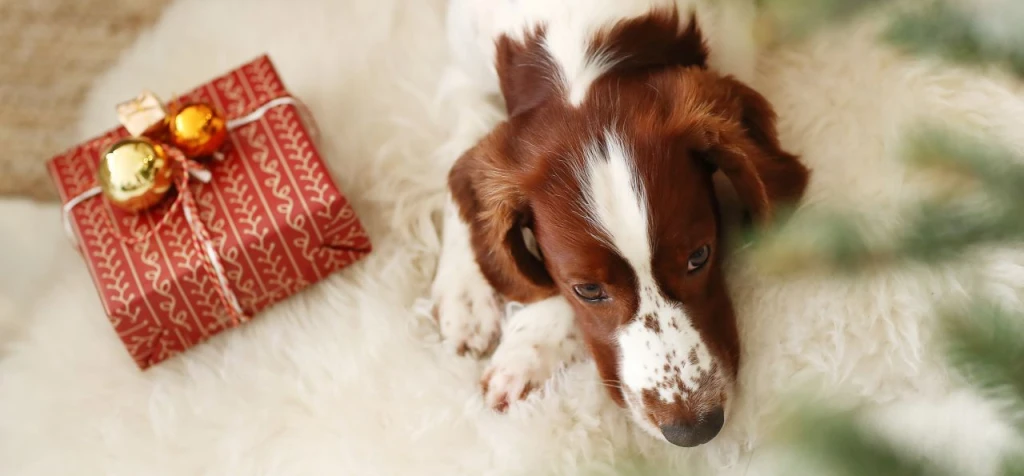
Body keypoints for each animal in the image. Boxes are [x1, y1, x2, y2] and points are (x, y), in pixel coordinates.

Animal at [430, 0, 806, 446]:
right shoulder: (466, 72)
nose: (694, 429)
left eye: (699, 256)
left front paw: (531, 346)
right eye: (588, 289)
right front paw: (472, 299)